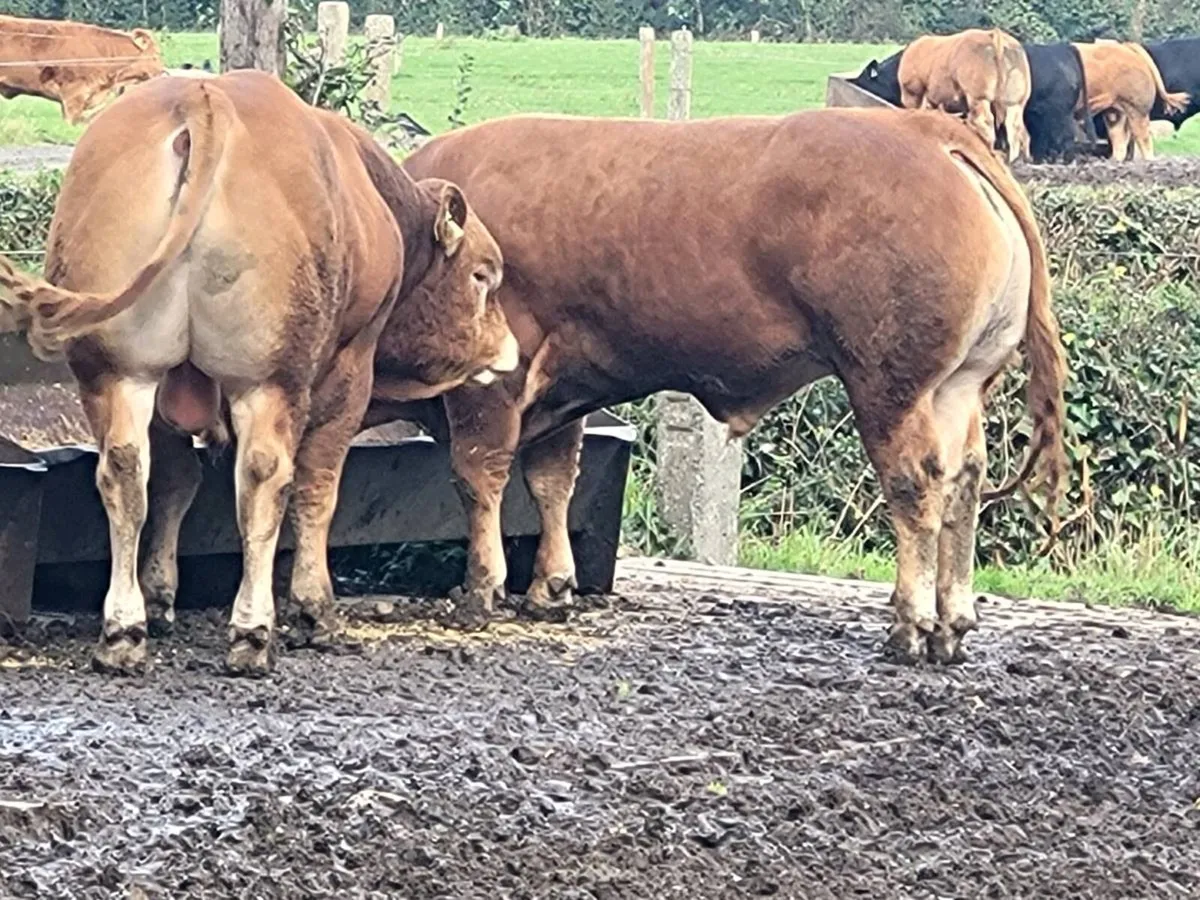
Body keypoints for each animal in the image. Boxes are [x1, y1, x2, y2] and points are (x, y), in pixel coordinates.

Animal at [0, 70, 519, 676]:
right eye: (483, 275)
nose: (509, 349)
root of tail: (202, 98)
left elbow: (176, 480)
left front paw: (159, 594)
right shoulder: (349, 373)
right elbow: (317, 487)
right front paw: (315, 610)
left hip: (119, 370)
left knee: (125, 473)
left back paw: (123, 631)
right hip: (268, 378)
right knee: (264, 478)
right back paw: (252, 631)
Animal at [372, 108, 1069, 667]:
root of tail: (930, 130)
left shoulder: (493, 381)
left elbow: (480, 477)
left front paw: (480, 587)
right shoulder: (562, 387)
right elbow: (551, 484)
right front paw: (551, 586)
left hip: (892, 387)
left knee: (917, 485)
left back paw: (911, 626)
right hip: (960, 386)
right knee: (966, 481)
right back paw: (952, 622)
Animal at [896, 28, 1032, 162]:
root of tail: (993, 35)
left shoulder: (913, 95)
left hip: (978, 97)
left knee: (986, 122)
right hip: (1014, 102)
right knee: (1016, 128)